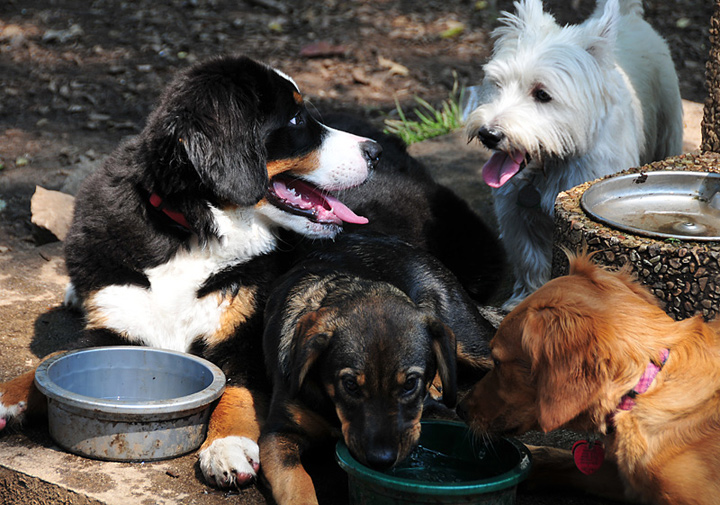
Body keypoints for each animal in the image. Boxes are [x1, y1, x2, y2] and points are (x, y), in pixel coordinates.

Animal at [0, 55, 380, 488]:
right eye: (297, 119)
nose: (376, 150)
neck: (194, 231)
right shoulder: (118, 323)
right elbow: (48, 363)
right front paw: (5, 398)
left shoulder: (246, 339)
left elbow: (236, 392)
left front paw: (227, 446)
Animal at [258, 234, 496, 504]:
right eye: (350, 385)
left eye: (410, 384)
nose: (381, 460)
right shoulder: (277, 433)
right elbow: (296, 483)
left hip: (468, 335)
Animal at [466, 0, 680, 310]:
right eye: (497, 84)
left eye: (542, 94)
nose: (488, 134)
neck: (551, 164)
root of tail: (630, 16)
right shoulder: (514, 212)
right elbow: (529, 258)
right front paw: (524, 299)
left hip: (668, 124)